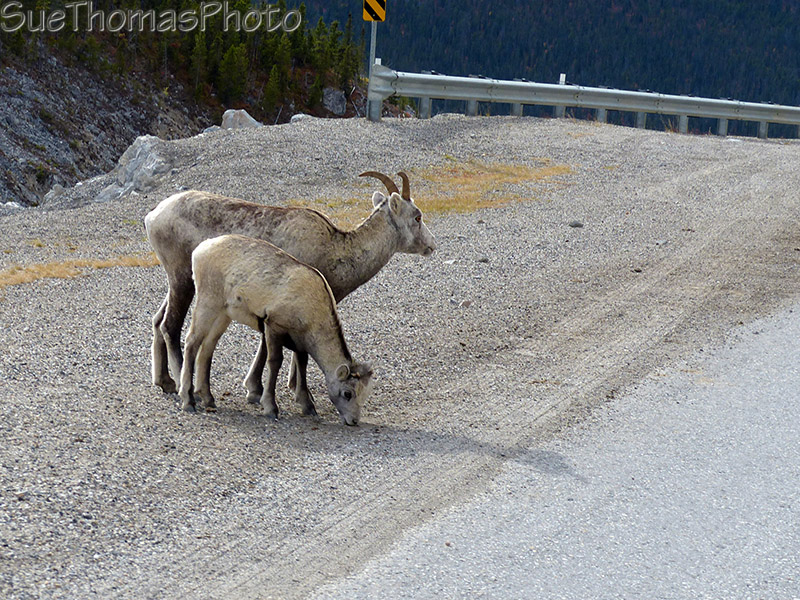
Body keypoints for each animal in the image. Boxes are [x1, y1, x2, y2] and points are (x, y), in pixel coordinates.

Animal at [179, 234, 374, 425]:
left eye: (364, 395)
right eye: (347, 393)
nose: (353, 420)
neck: (312, 306)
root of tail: (200, 250)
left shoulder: (299, 341)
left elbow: (302, 365)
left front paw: (308, 407)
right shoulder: (273, 326)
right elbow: (275, 362)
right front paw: (271, 408)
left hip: (223, 314)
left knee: (207, 347)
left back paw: (208, 399)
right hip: (207, 303)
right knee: (192, 342)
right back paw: (188, 402)